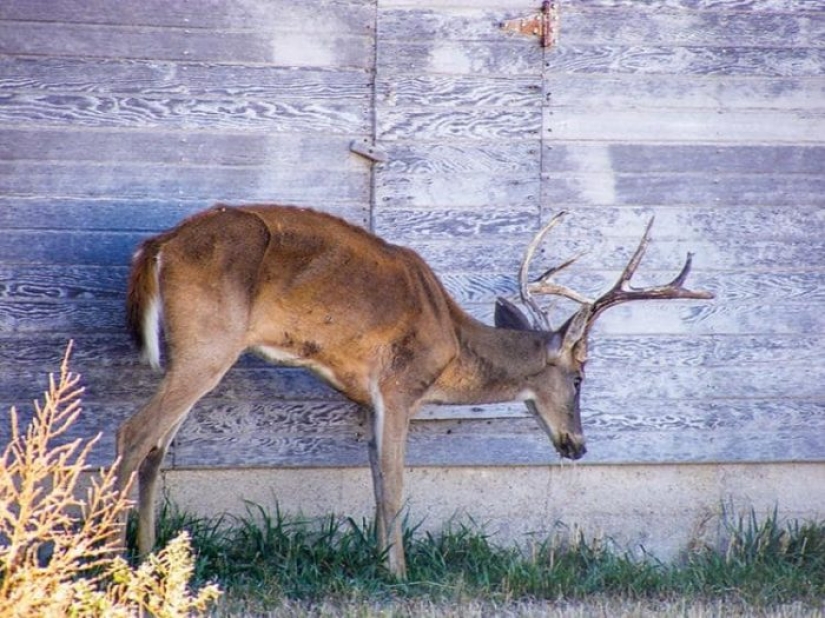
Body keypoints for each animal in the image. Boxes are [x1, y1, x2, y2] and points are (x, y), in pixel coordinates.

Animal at [117, 205, 716, 576]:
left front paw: (379, 562)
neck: (450, 342)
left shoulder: (368, 400)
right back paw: (108, 558)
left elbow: (377, 480)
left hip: (194, 351)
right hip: (209, 342)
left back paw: (150, 558)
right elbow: (397, 484)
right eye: (580, 376)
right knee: (133, 432)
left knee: (156, 447)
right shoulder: (401, 386)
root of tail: (158, 246)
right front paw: (399, 572)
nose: (578, 445)